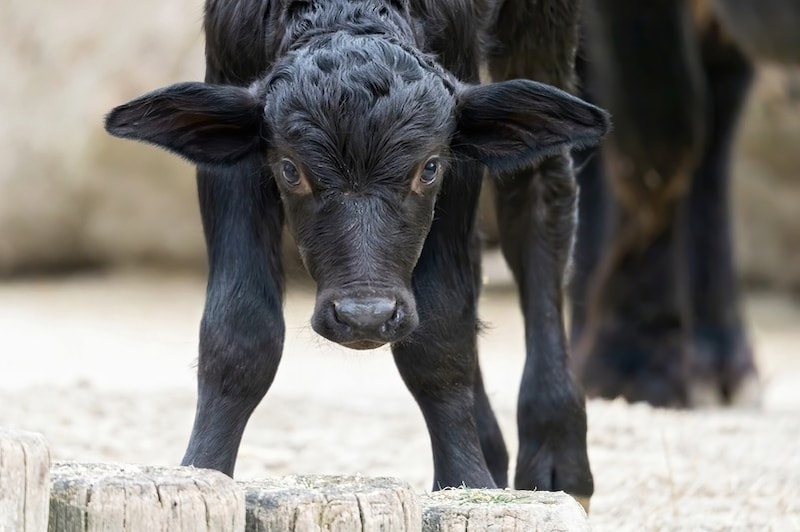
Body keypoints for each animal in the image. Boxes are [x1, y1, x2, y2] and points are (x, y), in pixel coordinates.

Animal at [104, 0, 608, 510]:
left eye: (428, 168)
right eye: (291, 170)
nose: (365, 316)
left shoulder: (460, 132)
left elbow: (440, 333)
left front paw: (467, 480)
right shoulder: (230, 97)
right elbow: (239, 330)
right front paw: (203, 470)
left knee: (538, 193)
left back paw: (557, 459)